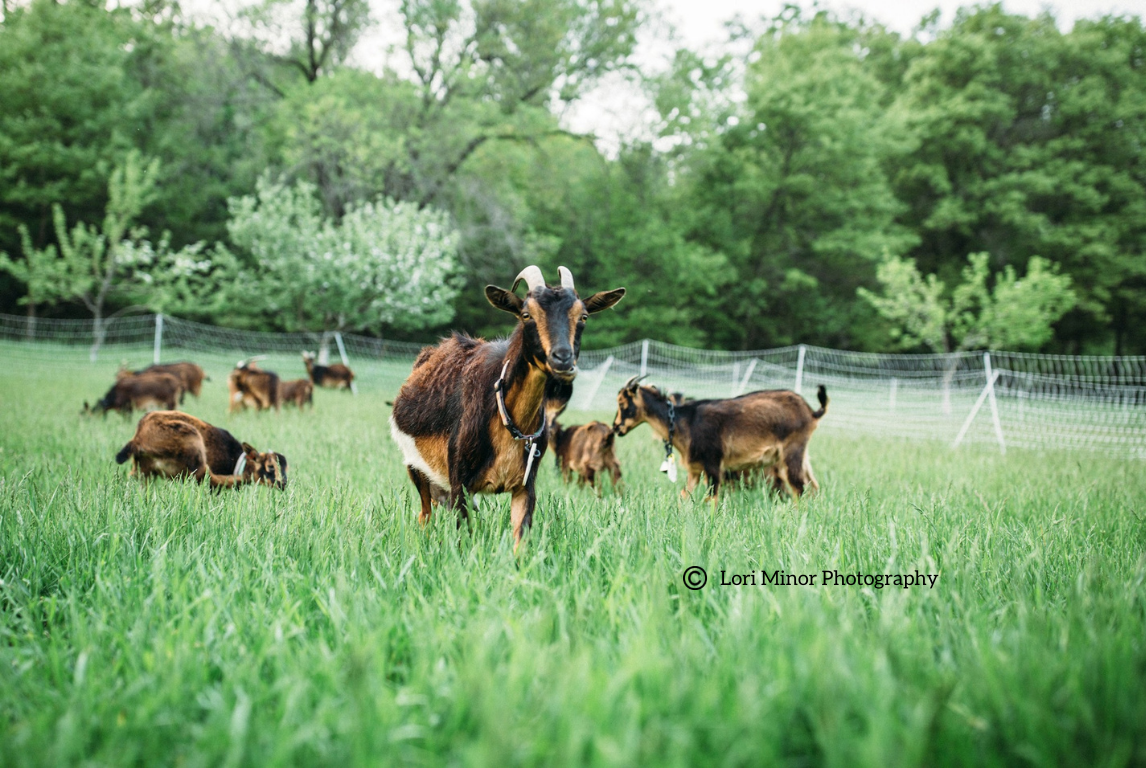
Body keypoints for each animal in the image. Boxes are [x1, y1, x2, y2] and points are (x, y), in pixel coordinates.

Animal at [389, 265, 625, 550]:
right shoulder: (460, 483)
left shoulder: (525, 485)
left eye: (584, 316)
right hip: (416, 466)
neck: (507, 420)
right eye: (526, 314)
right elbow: (464, 537)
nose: (563, 359)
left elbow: (520, 541)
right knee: (425, 515)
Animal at [612, 378, 827, 503]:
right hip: (801, 455)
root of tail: (811, 412)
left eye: (622, 403)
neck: (685, 422)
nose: (616, 427)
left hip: (791, 451)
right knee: (813, 487)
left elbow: (711, 500)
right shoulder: (695, 470)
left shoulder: (713, 464)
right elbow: (684, 496)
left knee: (799, 488)